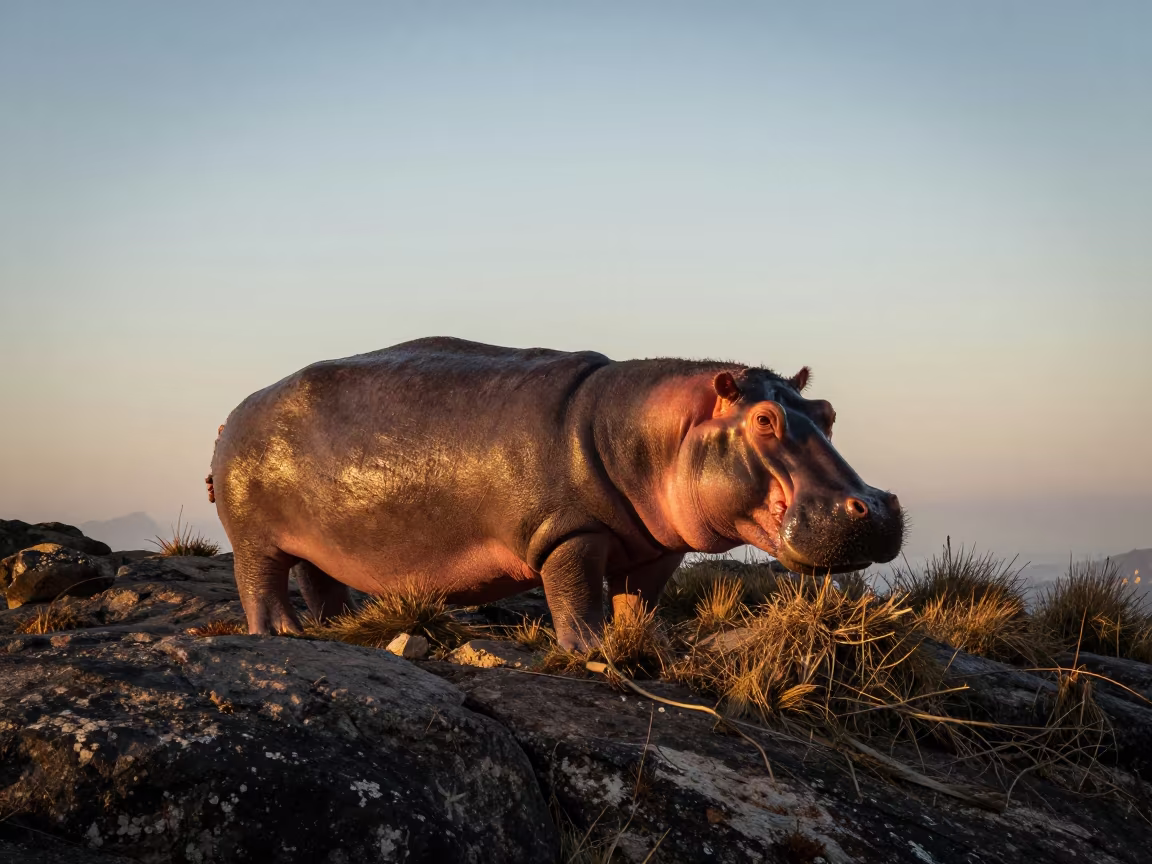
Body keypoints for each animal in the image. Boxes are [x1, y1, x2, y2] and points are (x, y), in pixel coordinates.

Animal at [209, 337, 904, 649]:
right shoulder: (570, 533)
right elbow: (575, 594)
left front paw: (647, 644)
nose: (873, 505)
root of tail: (234, 412)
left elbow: (639, 600)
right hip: (255, 535)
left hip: (322, 539)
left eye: (827, 411)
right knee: (260, 579)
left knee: (319, 576)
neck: (656, 431)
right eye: (763, 420)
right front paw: (592, 650)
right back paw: (282, 634)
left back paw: (339, 625)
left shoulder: (656, 549)